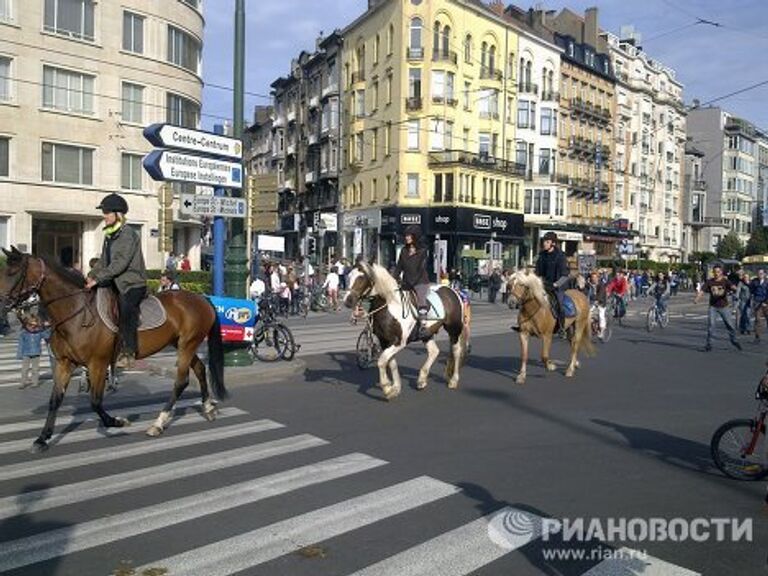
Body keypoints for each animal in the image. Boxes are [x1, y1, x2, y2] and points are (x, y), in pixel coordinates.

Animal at [0, 245, 226, 452]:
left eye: (12, 273)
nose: (2, 305)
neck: (76, 312)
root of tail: (202, 298)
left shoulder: (97, 364)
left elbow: (95, 402)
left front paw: (117, 422)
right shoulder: (65, 363)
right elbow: (55, 400)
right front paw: (42, 438)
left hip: (187, 345)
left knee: (181, 381)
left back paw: (159, 423)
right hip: (183, 344)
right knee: (200, 369)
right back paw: (208, 407)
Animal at [344, 262, 472, 400]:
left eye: (362, 278)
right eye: (349, 276)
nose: (347, 300)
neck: (391, 305)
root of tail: (453, 291)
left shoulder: (399, 342)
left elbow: (382, 361)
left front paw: (387, 388)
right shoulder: (385, 341)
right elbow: (391, 363)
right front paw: (395, 388)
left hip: (454, 329)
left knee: (456, 351)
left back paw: (453, 380)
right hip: (427, 334)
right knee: (434, 351)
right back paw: (421, 380)